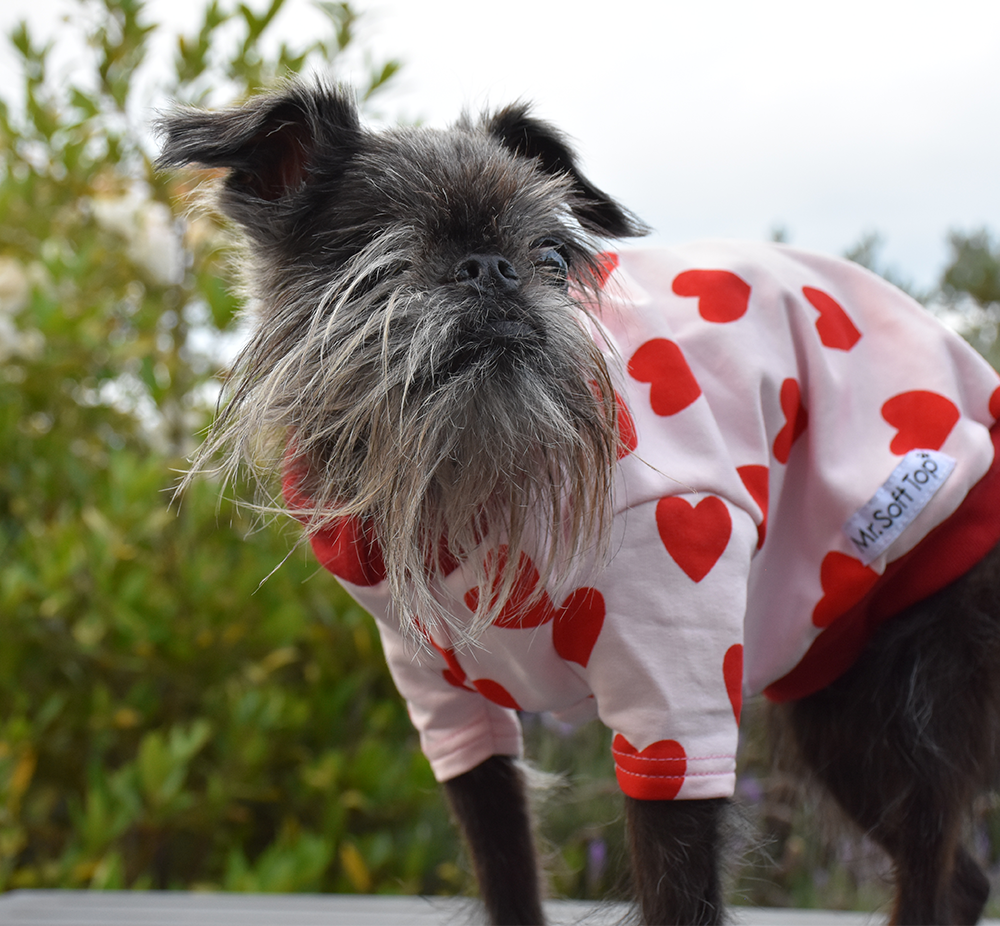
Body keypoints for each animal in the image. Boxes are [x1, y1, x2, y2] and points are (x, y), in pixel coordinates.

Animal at [156, 81, 1000, 926]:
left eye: (554, 259)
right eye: (382, 252)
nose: (492, 269)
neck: (468, 483)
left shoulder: (674, 711)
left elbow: (678, 888)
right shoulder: (451, 714)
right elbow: (505, 863)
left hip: (909, 690)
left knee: (929, 849)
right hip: (835, 701)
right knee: (958, 874)